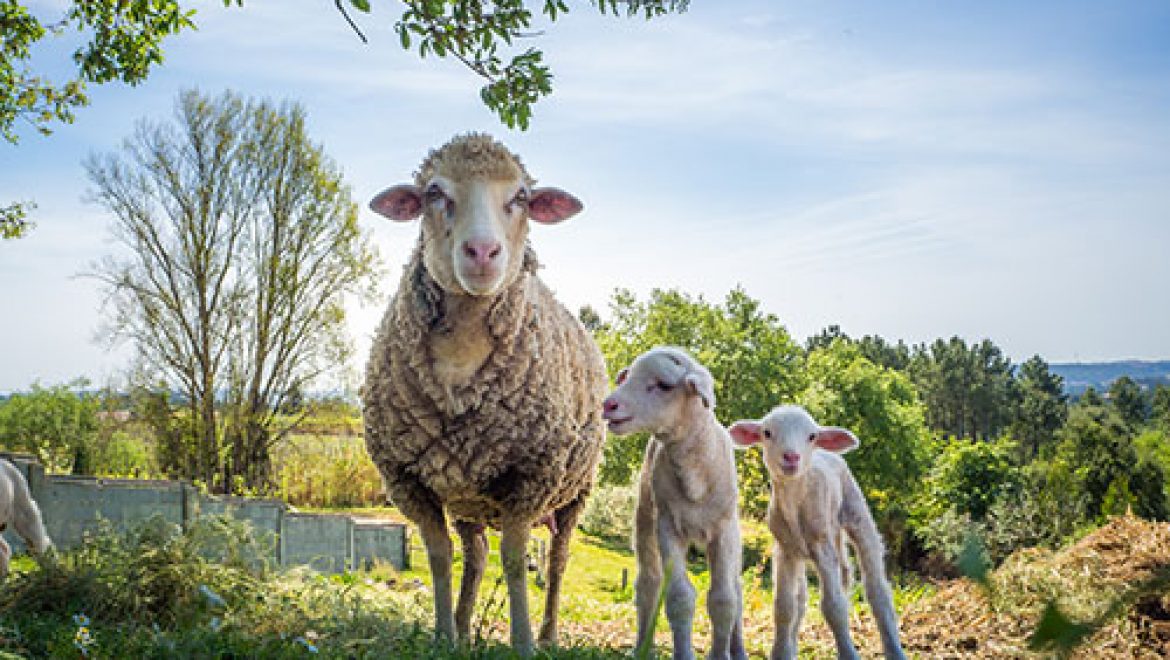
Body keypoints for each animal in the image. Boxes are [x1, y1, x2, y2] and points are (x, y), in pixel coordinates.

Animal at [360, 132, 608, 655]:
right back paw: (462, 628)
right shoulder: (409, 480)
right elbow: (440, 557)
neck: (461, 356)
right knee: (473, 556)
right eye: (433, 192)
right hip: (466, 491)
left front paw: (524, 644)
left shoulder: (531, 477)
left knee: (556, 561)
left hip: (574, 493)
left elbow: (515, 562)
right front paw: (440, 638)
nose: (481, 251)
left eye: (521, 197)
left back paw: (550, 634)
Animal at [599, 348, 744, 655]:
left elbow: (725, 601)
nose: (609, 404)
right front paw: (683, 653)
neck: (694, 478)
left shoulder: (724, 530)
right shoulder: (668, 526)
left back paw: (738, 651)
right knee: (648, 584)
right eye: (627, 376)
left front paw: (721, 654)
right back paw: (641, 648)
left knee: (736, 591)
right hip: (645, 516)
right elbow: (680, 598)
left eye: (664, 385)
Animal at [730, 404, 903, 660]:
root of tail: (827, 452)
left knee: (877, 591)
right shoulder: (785, 549)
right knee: (811, 593)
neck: (796, 501)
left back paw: (894, 647)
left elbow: (833, 606)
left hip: (855, 509)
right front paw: (781, 652)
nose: (792, 457)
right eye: (767, 433)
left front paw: (848, 653)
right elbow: (784, 607)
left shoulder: (822, 545)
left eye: (811, 436)